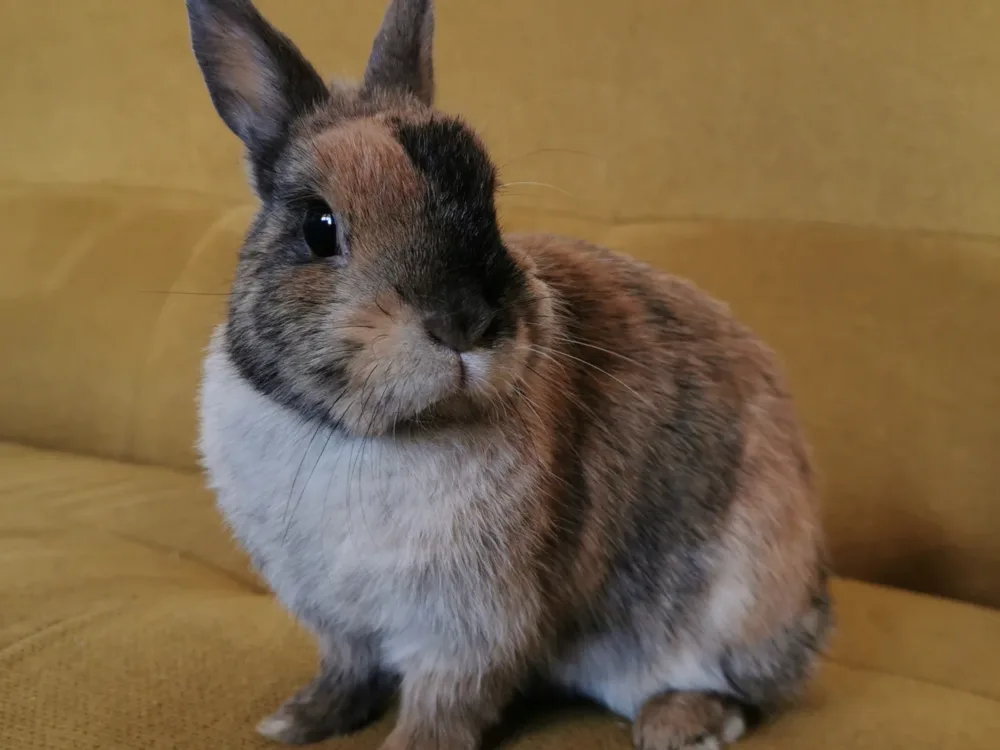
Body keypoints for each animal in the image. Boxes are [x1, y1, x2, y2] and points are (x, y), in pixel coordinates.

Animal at [187, 1, 832, 749]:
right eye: (319, 227)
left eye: (489, 202)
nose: (465, 322)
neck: (384, 435)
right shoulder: (338, 621)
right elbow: (346, 672)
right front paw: (294, 722)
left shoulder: (470, 628)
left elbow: (442, 703)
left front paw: (408, 746)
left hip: (738, 602)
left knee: (740, 692)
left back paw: (678, 724)